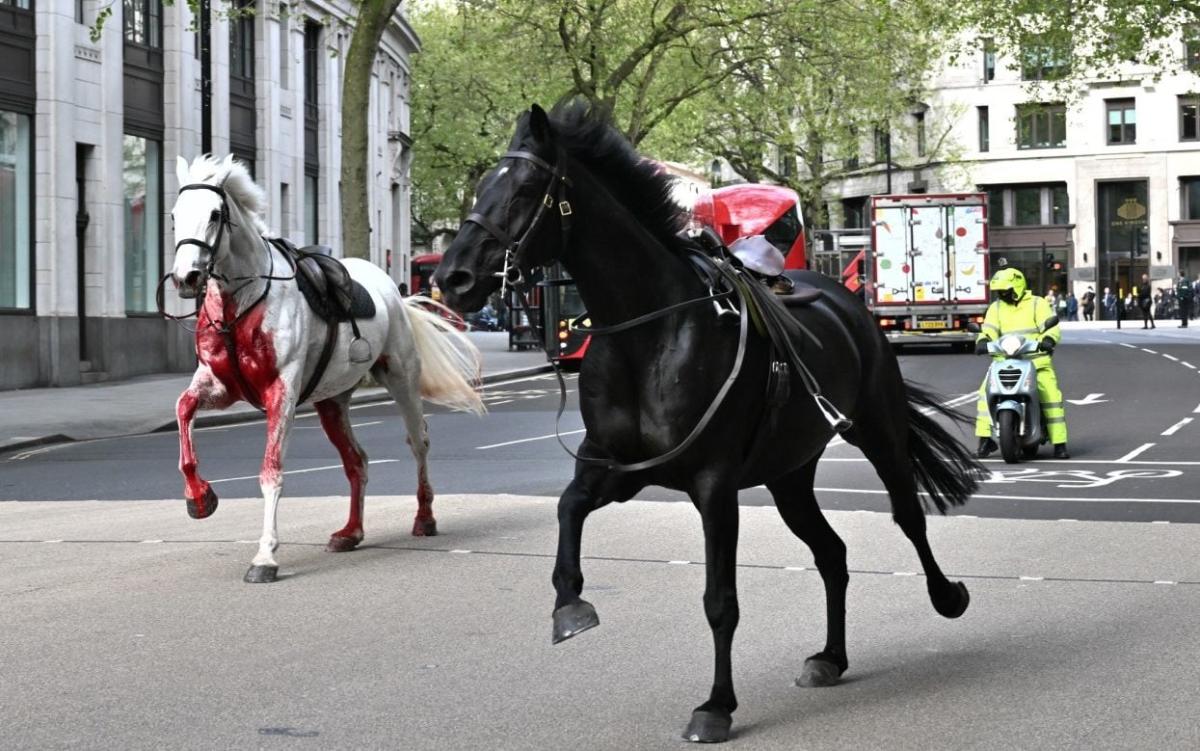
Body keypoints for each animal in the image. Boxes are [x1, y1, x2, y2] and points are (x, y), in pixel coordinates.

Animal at [168, 154, 482, 583]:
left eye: (215, 214)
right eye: (174, 215)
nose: (186, 278)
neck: (242, 302)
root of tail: (392, 289)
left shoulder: (281, 391)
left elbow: (271, 472)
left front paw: (265, 557)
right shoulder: (219, 385)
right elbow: (183, 409)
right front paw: (199, 498)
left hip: (402, 378)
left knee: (418, 442)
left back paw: (424, 518)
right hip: (332, 401)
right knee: (357, 461)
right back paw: (351, 532)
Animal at [436, 102, 979, 739]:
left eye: (523, 189)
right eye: (480, 187)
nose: (452, 278)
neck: (647, 333)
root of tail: (843, 297)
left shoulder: (713, 484)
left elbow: (720, 600)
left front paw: (717, 705)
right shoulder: (618, 468)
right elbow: (568, 508)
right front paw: (570, 606)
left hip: (878, 427)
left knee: (907, 516)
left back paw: (947, 596)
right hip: (789, 473)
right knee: (832, 553)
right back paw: (831, 657)